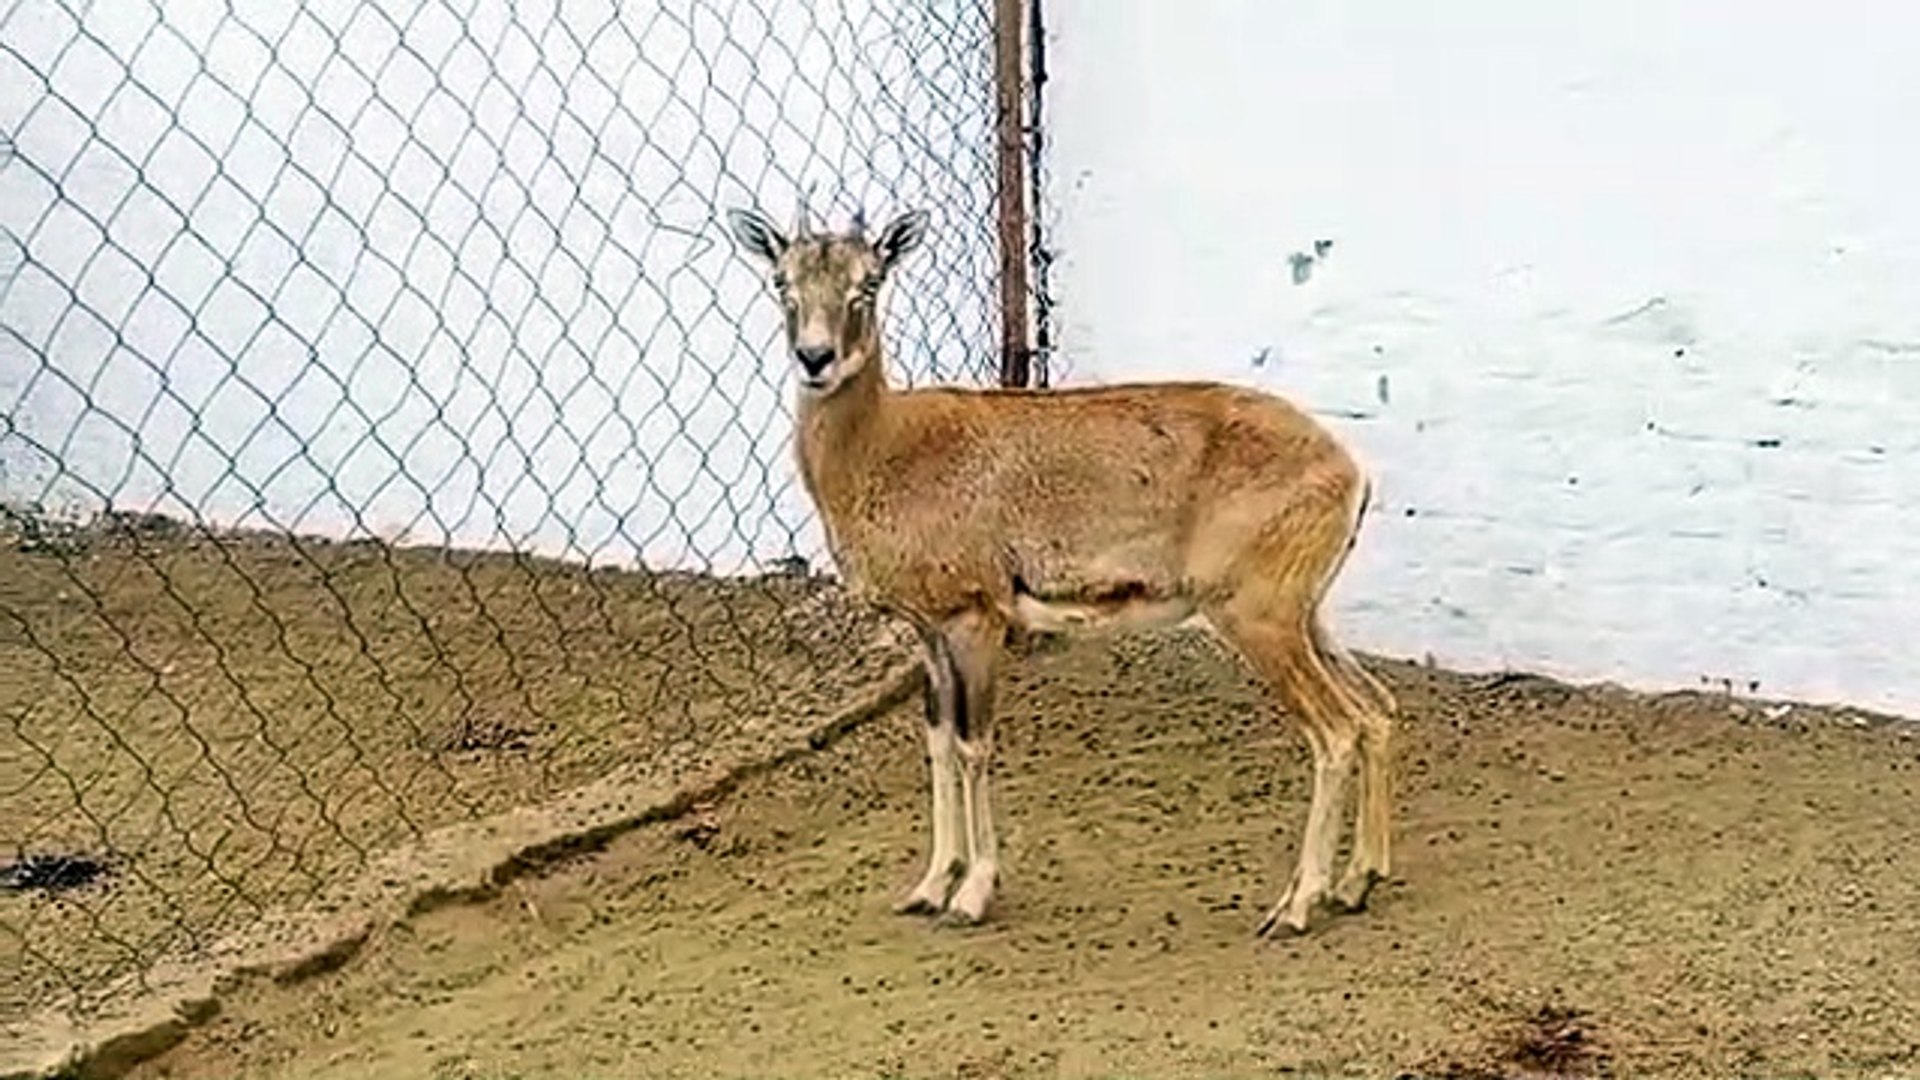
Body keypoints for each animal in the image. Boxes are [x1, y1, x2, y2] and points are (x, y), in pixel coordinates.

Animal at [729, 201, 1397, 933]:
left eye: (868, 283)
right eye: (781, 281)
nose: (815, 358)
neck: (888, 450)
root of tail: (1350, 471)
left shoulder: (976, 616)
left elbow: (973, 743)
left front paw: (972, 893)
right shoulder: (928, 630)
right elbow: (937, 741)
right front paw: (928, 886)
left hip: (1258, 617)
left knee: (1336, 732)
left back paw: (1296, 906)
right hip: (1304, 614)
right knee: (1375, 711)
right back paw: (1357, 882)